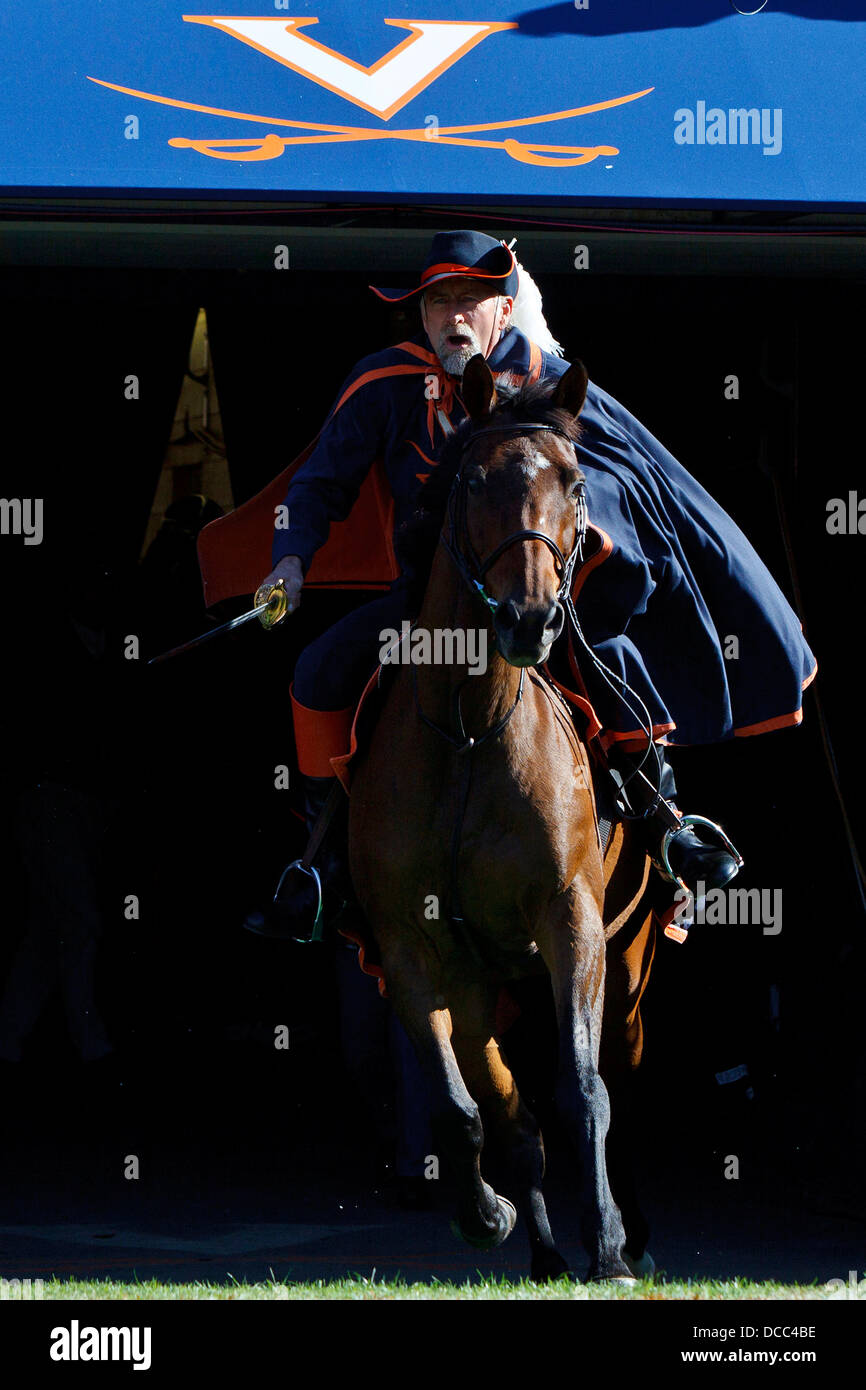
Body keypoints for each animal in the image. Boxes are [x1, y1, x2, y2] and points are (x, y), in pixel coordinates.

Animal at [346, 355, 656, 1278]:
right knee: (512, 1114)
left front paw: (611, 1246)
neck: (472, 730)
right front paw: (487, 1216)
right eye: (477, 481)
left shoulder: (572, 919)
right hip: (481, 988)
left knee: (618, 1073)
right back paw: (545, 1248)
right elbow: (462, 1106)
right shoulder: (414, 949)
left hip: (629, 960)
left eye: (575, 482)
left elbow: (583, 1089)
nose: (530, 618)